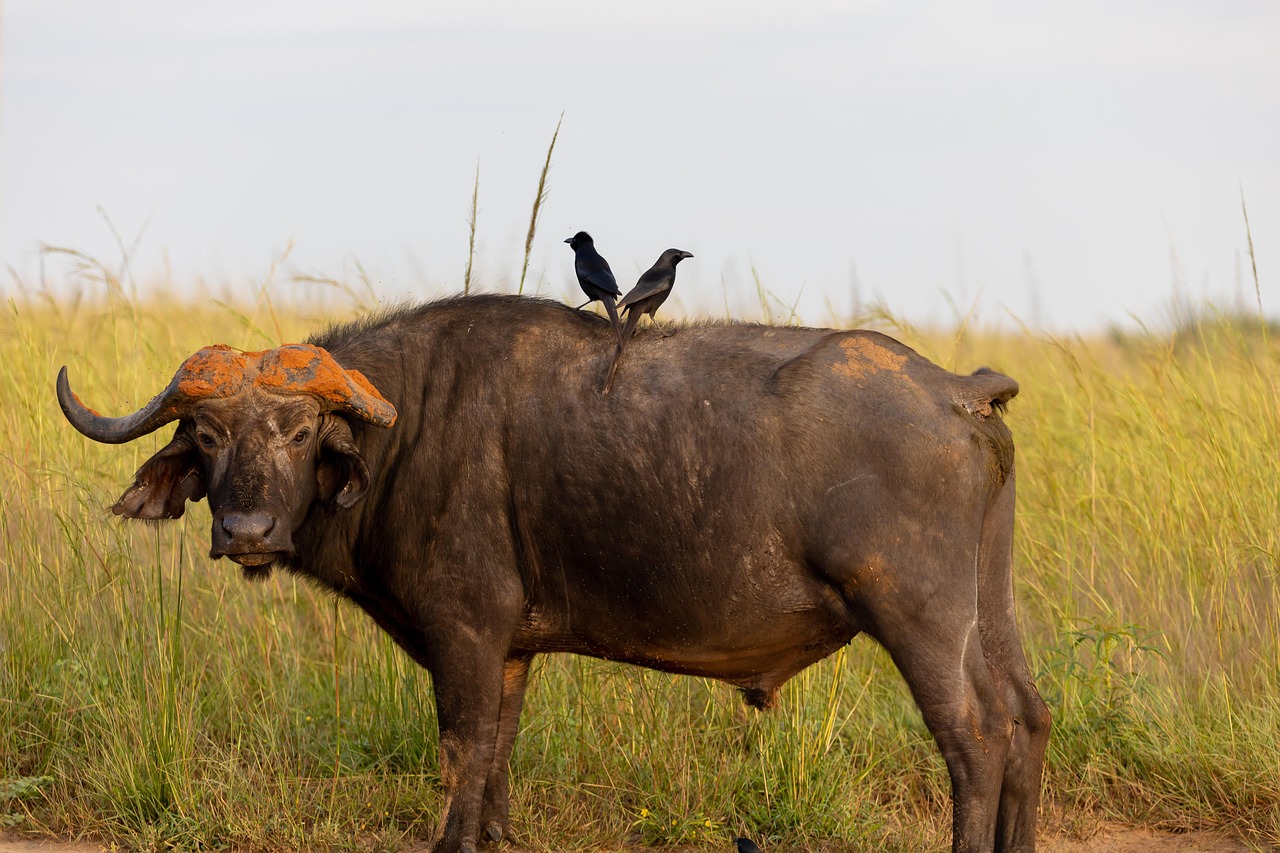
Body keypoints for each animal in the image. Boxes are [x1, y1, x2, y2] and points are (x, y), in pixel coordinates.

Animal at [57, 295, 1050, 853]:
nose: (247, 530)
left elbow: (461, 747)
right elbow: (496, 752)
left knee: (976, 734)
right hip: (987, 608)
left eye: (300, 432)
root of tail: (955, 390)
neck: (408, 432)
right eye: (208, 435)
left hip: (919, 615)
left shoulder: (463, 632)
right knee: (1029, 716)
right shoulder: (509, 650)